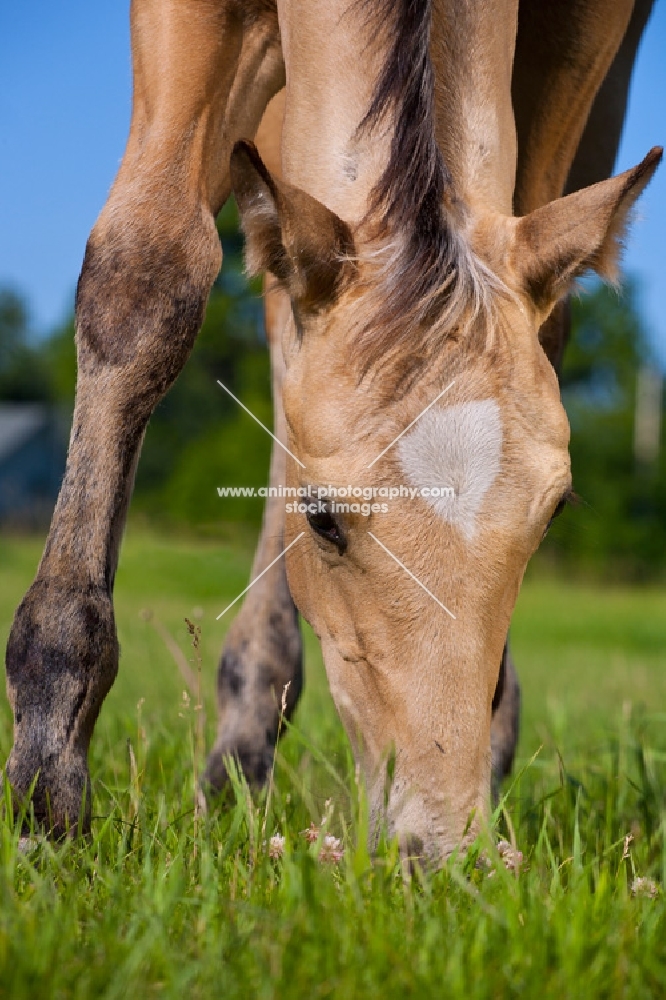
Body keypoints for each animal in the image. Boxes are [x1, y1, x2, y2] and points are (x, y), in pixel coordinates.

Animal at [3, 0, 660, 860]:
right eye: (321, 520)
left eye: (552, 516)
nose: (438, 851)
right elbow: (147, 275)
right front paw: (47, 785)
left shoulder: (586, 34)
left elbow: (547, 320)